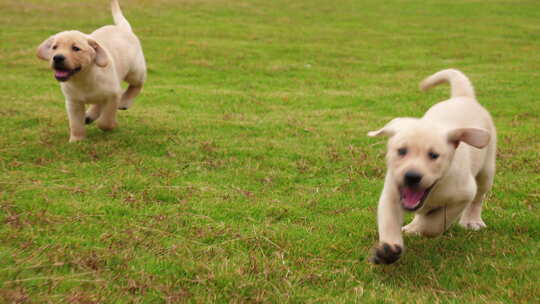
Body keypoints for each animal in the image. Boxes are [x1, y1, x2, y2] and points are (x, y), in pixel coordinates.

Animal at [36, 0, 147, 142]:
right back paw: (89, 115)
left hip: (135, 71)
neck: (84, 77)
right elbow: (76, 123)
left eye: (76, 48)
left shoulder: (113, 95)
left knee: (137, 85)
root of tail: (123, 28)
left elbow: (105, 120)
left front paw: (111, 125)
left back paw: (125, 101)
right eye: (54, 47)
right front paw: (77, 140)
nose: (57, 57)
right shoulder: (73, 102)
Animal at [370, 69, 496, 264]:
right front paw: (389, 249)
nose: (412, 176)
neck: (435, 189)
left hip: (486, 171)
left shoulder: (463, 195)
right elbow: (389, 222)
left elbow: (434, 224)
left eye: (434, 155)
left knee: (478, 198)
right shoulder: (392, 194)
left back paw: (471, 221)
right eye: (401, 151)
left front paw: (418, 228)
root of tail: (463, 97)